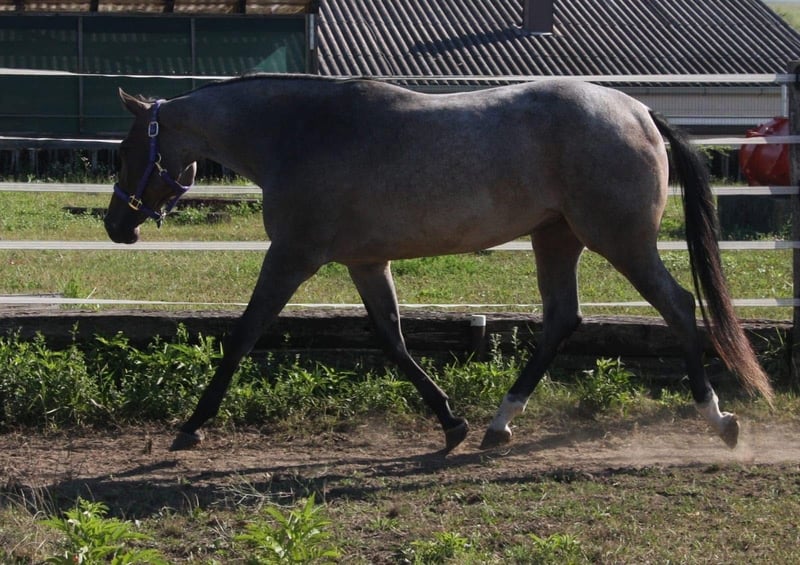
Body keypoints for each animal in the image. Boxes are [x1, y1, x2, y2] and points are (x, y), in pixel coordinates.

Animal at [104, 74, 773, 453]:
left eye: (129, 149)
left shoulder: (292, 256)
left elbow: (244, 333)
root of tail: (638, 111)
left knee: (678, 307)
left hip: (619, 239)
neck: (299, 133)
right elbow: (393, 341)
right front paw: (450, 422)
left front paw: (191, 426)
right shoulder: (365, 262)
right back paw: (498, 426)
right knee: (562, 319)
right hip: (556, 238)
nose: (116, 226)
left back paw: (718, 420)